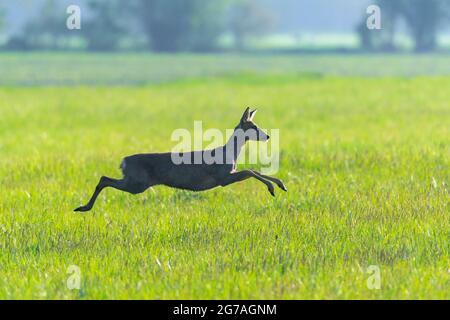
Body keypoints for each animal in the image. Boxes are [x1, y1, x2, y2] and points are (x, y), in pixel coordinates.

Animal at [73, 108, 284, 212]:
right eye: (253, 126)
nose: (267, 136)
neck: (229, 153)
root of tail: (123, 161)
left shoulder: (227, 175)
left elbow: (253, 170)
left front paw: (280, 185)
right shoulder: (223, 177)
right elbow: (250, 171)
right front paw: (273, 188)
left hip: (135, 181)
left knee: (104, 179)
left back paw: (83, 207)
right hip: (137, 183)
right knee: (104, 179)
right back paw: (83, 207)